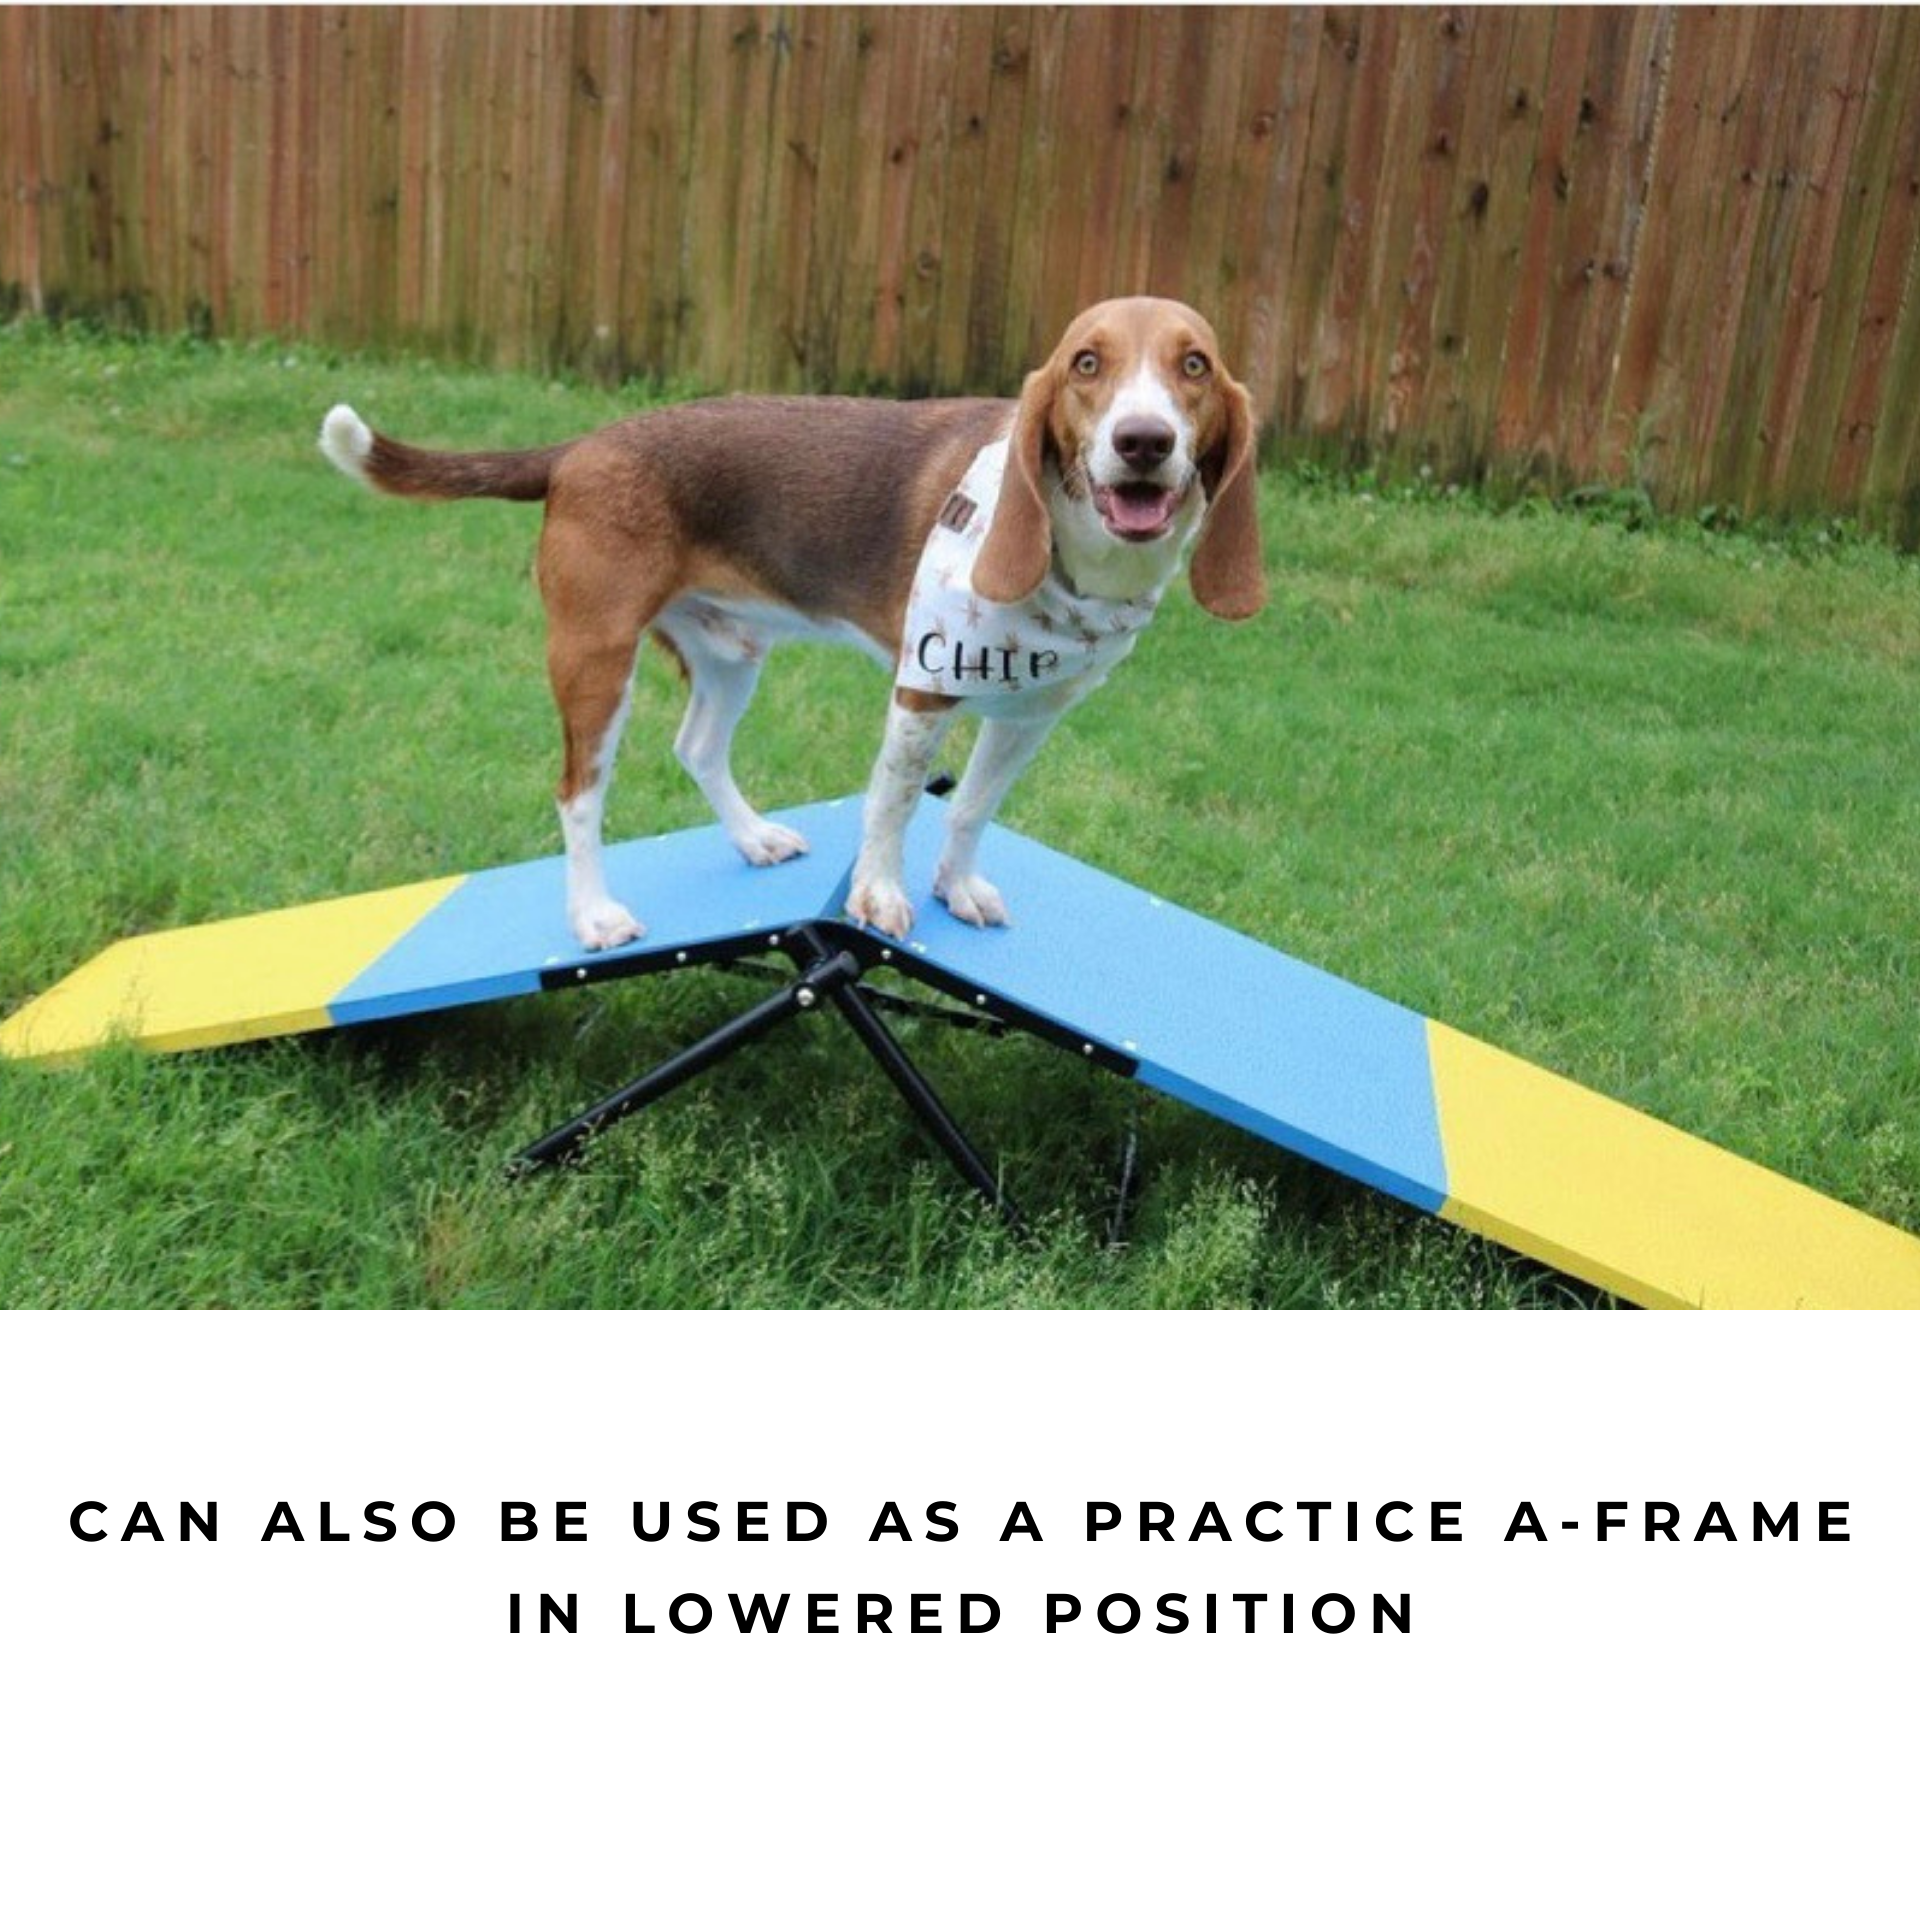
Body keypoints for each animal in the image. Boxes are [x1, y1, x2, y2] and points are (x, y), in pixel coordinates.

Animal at [322, 295, 1267, 948]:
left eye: (1193, 366)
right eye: (1086, 364)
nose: (1143, 441)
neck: (1080, 566)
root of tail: (579, 449)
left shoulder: (1033, 714)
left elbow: (970, 810)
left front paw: (956, 887)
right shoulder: (921, 692)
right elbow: (893, 805)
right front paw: (880, 896)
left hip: (730, 652)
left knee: (697, 747)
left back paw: (752, 839)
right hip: (595, 661)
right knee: (578, 794)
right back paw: (594, 914)